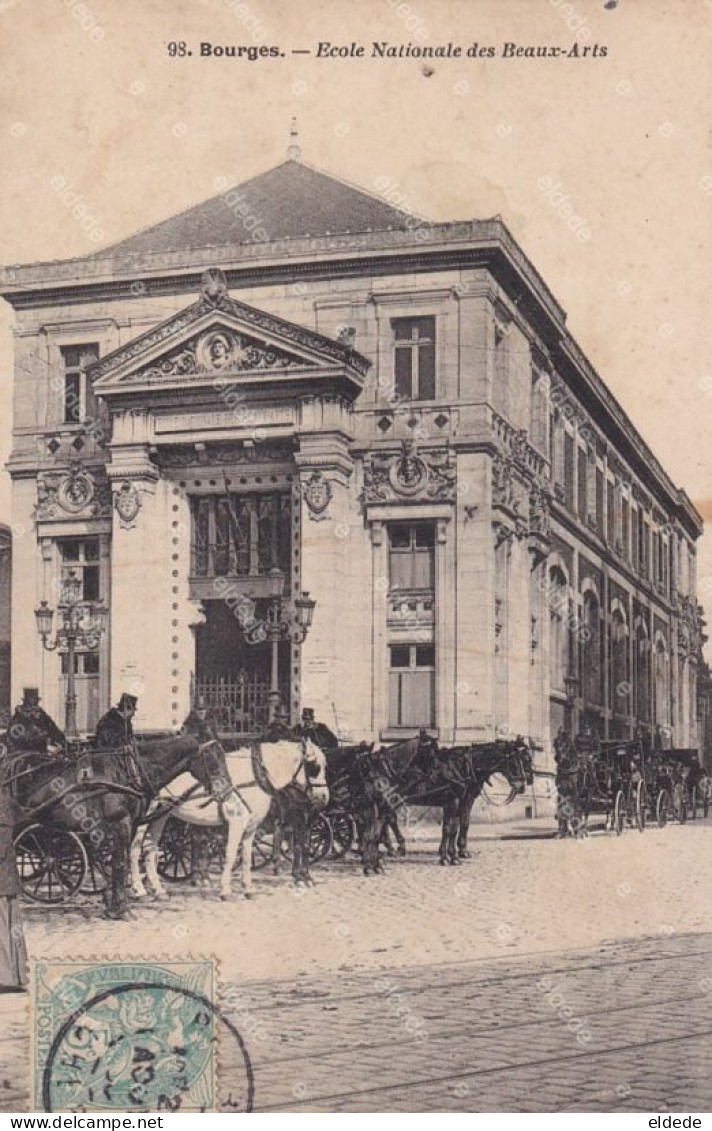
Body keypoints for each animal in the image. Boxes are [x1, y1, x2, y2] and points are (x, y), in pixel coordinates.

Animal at [6, 714, 233, 918]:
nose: (226, 792)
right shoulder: (119, 823)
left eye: (223, 755)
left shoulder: (129, 825)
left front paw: (112, 904)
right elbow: (120, 862)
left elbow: (118, 861)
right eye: (211, 758)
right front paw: (122, 909)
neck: (129, 772)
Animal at [131, 732, 330, 900]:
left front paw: (248, 889)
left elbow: (247, 857)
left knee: (150, 848)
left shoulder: (251, 827)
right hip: (144, 818)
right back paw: (139, 888)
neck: (255, 775)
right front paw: (225, 890)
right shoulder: (236, 823)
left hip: (160, 816)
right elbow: (231, 854)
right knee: (134, 848)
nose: (324, 797)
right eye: (314, 766)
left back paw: (158, 890)